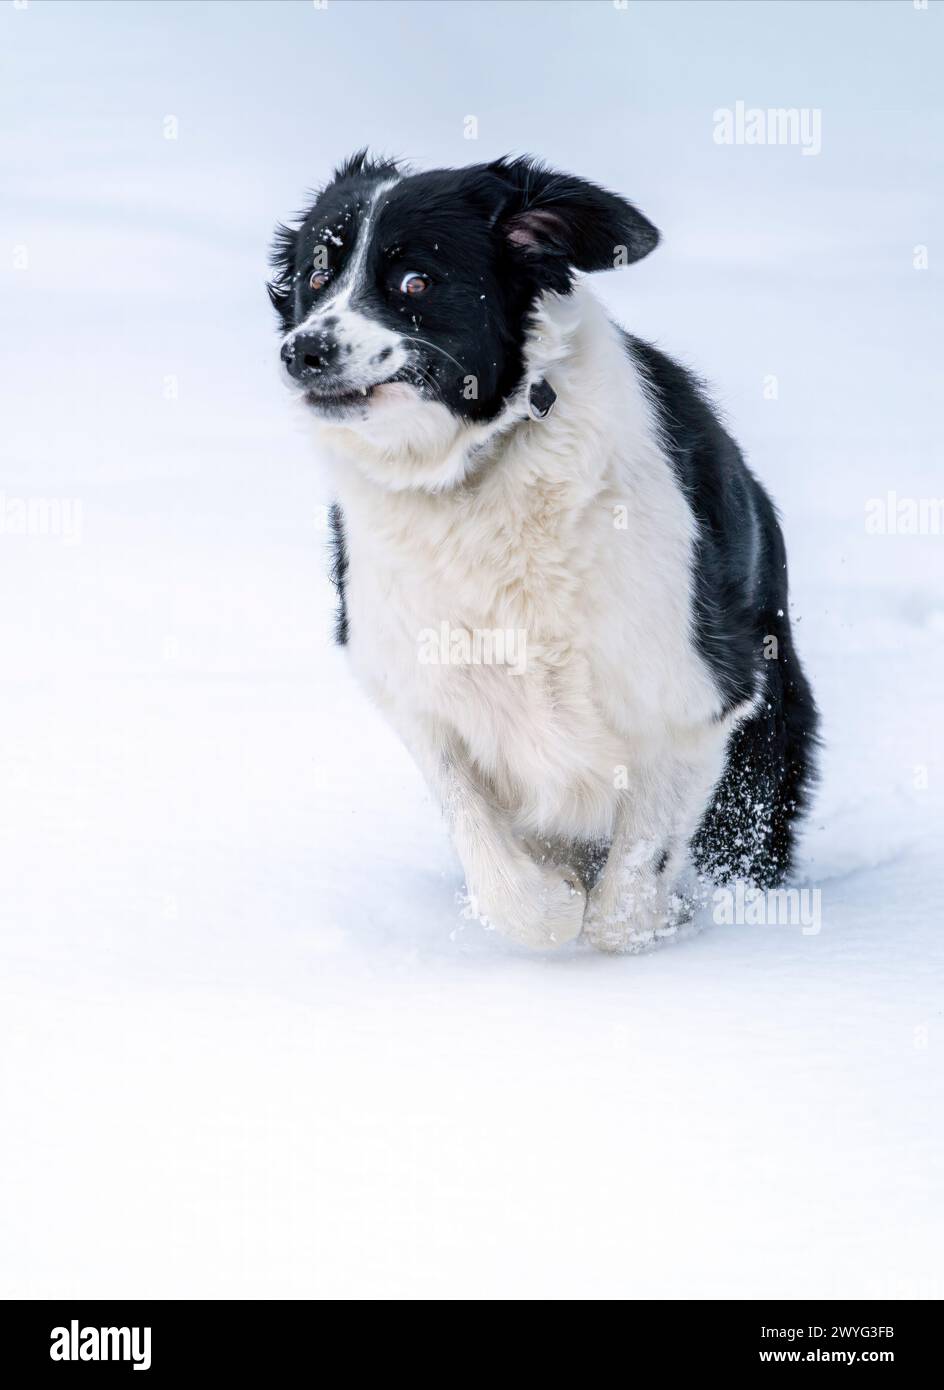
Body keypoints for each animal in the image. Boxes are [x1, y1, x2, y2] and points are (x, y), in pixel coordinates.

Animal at [268, 154, 817, 956]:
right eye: (316, 272)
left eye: (415, 282)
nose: (302, 350)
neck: (477, 469)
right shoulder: (420, 690)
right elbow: (492, 857)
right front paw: (552, 908)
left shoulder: (694, 697)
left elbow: (631, 888)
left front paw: (631, 927)